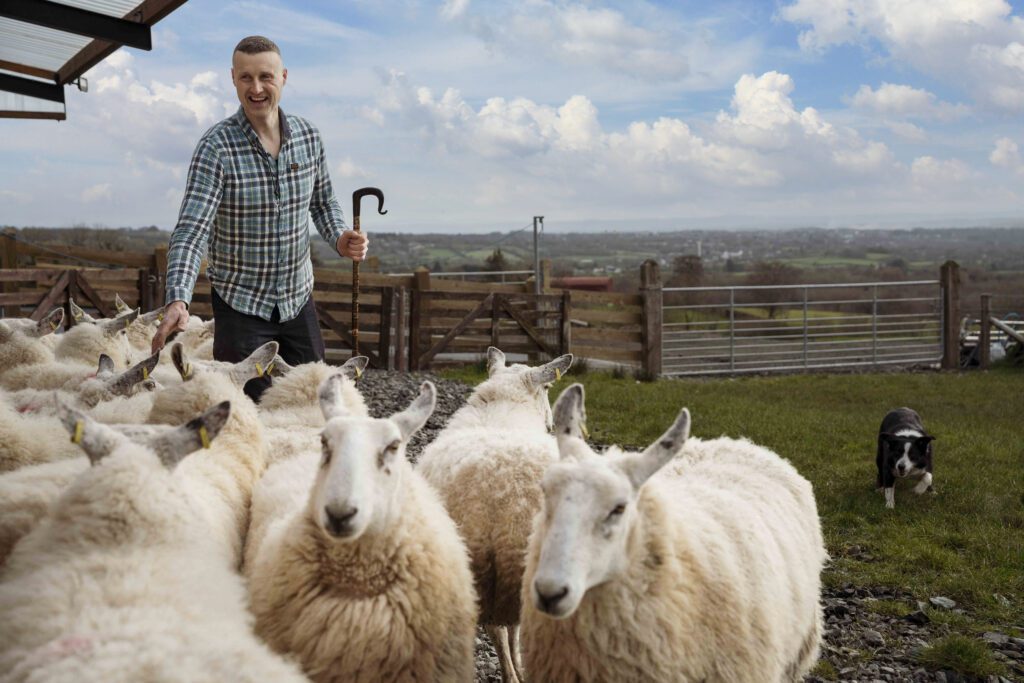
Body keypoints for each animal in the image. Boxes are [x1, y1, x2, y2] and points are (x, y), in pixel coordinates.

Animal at [415, 348, 577, 683]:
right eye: (546, 389)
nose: (551, 424)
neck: (503, 406)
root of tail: (501, 506)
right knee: (505, 629)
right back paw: (516, 672)